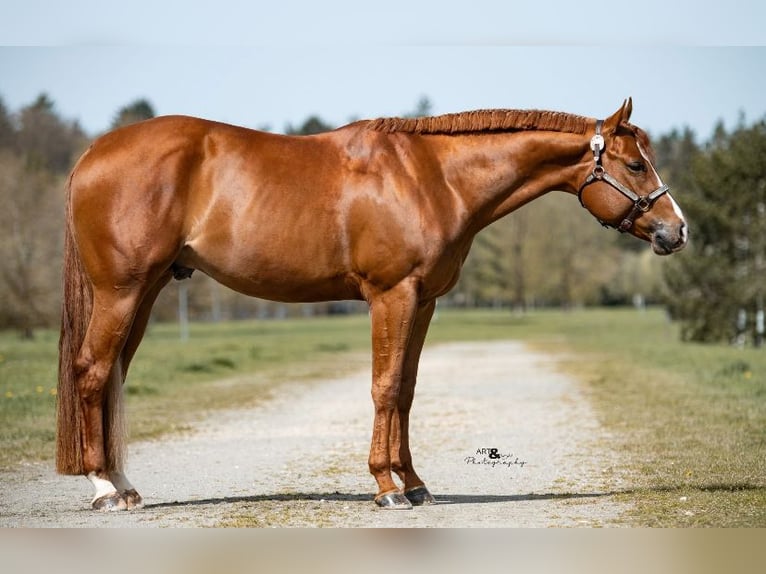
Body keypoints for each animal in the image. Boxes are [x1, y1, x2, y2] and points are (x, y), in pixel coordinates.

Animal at [56, 98, 687, 511]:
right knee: (92, 372)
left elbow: (405, 389)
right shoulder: (392, 295)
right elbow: (384, 387)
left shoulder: (423, 302)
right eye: (636, 164)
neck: (432, 175)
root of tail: (92, 153)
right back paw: (104, 489)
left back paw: (124, 485)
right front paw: (386, 488)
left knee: (113, 374)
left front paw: (414, 483)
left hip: (146, 292)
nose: (676, 231)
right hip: (122, 291)